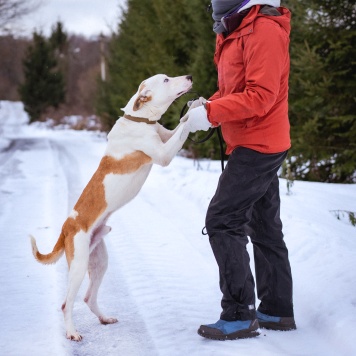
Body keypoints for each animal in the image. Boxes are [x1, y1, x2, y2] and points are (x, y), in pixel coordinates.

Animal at [29, 73, 193, 340]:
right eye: (167, 80)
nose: (189, 76)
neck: (140, 118)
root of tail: (66, 227)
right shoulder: (163, 154)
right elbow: (184, 127)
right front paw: (199, 112)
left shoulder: (165, 136)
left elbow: (177, 128)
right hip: (78, 267)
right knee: (66, 303)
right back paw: (72, 332)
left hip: (99, 262)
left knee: (88, 297)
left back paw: (104, 318)